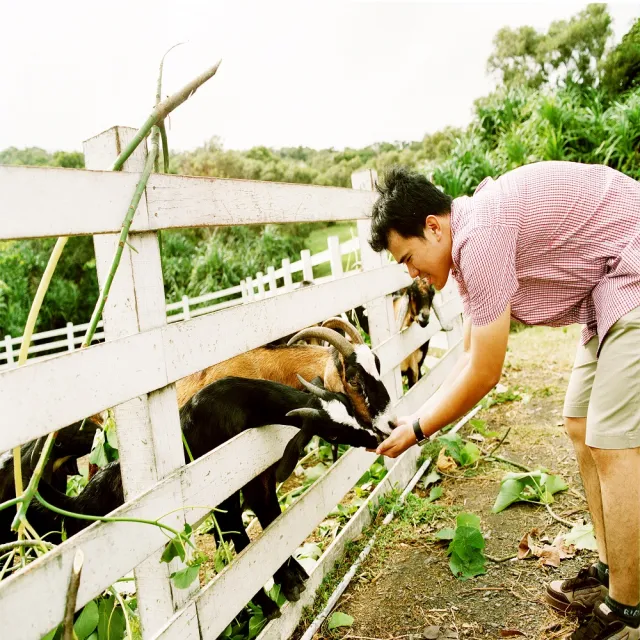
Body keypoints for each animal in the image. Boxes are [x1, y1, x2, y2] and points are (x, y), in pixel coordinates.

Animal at [18, 376, 380, 620]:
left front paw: (296, 576)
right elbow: (243, 537)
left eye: (349, 405)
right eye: (332, 432)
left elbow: (270, 522)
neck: (238, 404)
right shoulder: (225, 494)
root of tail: (83, 500)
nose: (375, 437)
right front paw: (276, 597)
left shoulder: (254, 483)